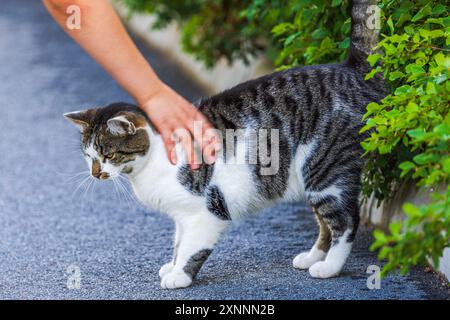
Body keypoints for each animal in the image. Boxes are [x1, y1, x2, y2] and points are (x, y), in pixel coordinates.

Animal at [64, 0, 386, 288]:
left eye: (108, 154)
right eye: (88, 156)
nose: (95, 173)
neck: (149, 163)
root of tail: (350, 71)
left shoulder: (205, 211)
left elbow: (192, 247)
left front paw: (179, 276)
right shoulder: (181, 215)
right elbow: (178, 241)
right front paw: (172, 264)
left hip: (325, 170)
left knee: (346, 221)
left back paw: (329, 267)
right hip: (310, 177)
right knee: (324, 221)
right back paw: (312, 257)